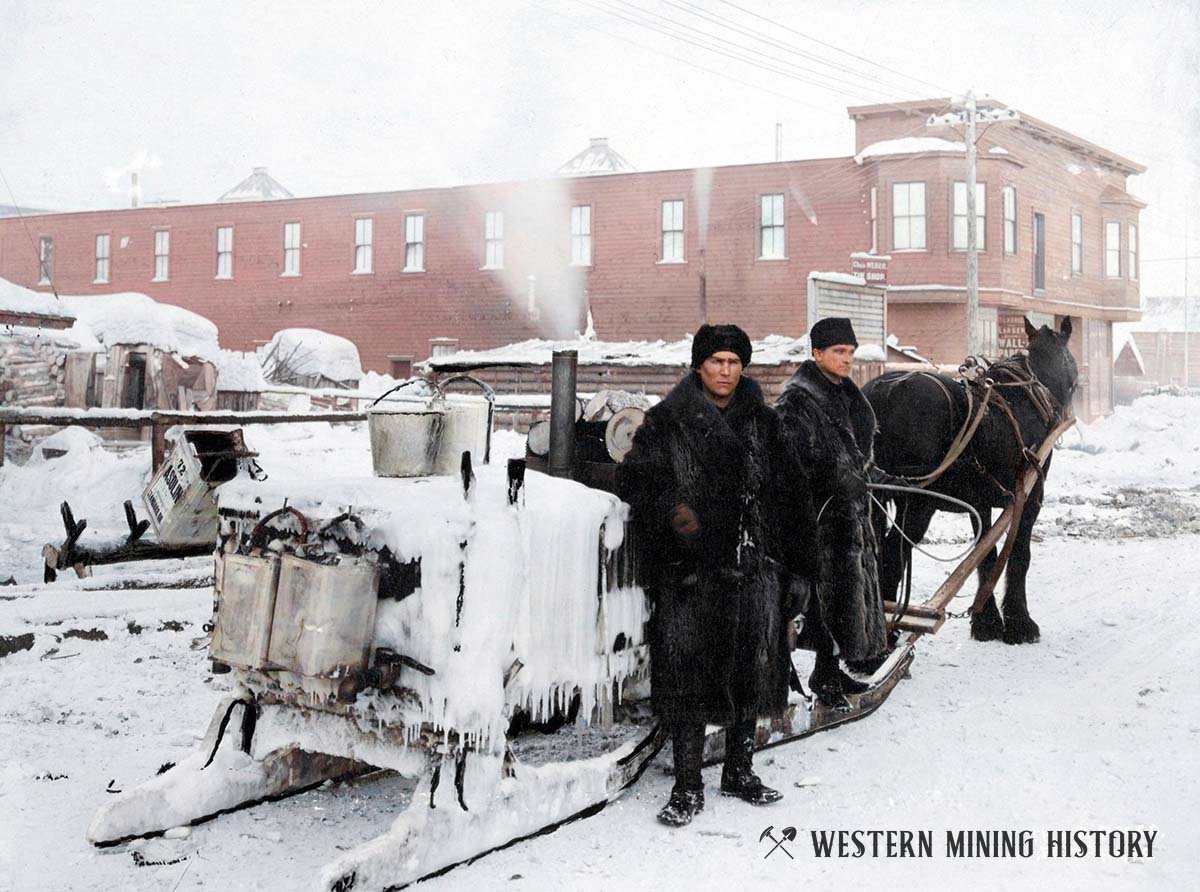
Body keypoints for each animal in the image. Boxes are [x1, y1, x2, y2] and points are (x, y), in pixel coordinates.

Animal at [864, 316, 1080, 643]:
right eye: (1071, 363)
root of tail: (883, 393)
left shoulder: (981, 503)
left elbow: (986, 557)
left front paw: (987, 621)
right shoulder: (1030, 497)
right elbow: (1017, 555)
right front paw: (1018, 623)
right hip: (918, 503)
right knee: (891, 554)